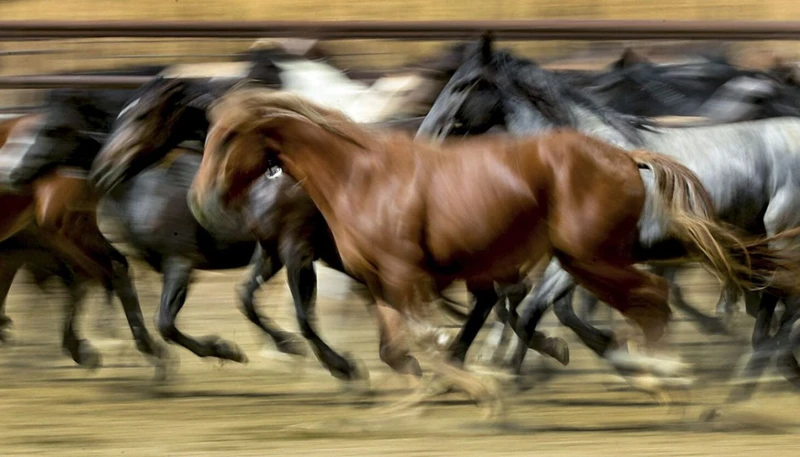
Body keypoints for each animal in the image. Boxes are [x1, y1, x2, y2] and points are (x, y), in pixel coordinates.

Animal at [186, 88, 800, 410]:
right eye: (207, 134)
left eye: (229, 137)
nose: (201, 201)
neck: (360, 177)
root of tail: (628, 156)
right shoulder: (383, 280)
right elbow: (400, 345)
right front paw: (424, 384)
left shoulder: (404, 275)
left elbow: (428, 337)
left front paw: (474, 383)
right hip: (583, 258)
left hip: (590, 256)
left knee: (649, 299)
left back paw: (665, 374)